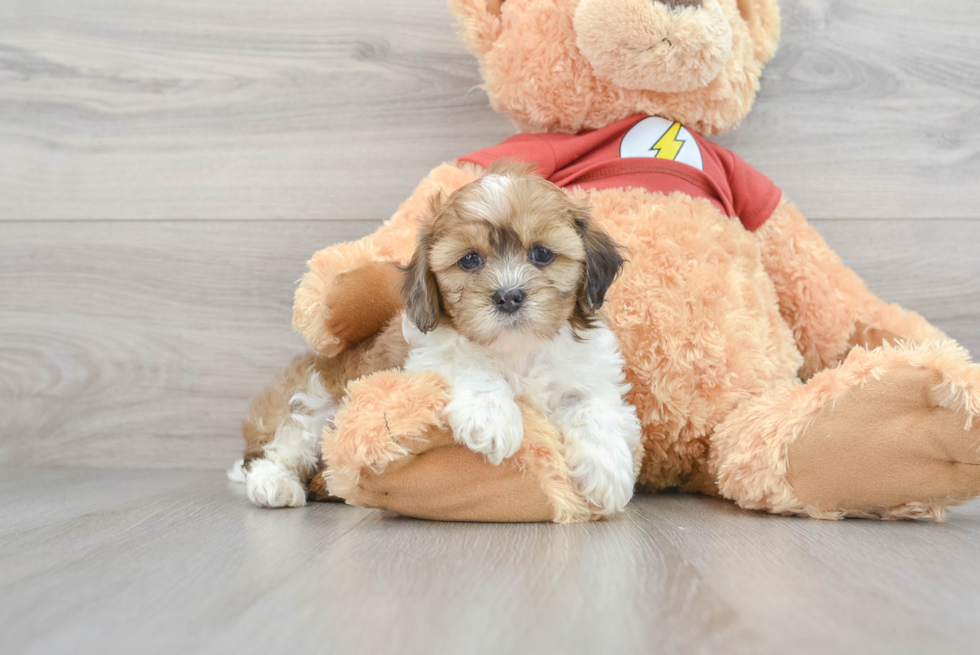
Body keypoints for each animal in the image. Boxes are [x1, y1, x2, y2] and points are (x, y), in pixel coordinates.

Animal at [400, 161, 644, 516]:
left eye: (542, 254)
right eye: (469, 259)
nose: (509, 296)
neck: (521, 347)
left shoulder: (590, 373)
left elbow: (594, 408)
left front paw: (607, 471)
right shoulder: (429, 356)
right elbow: (472, 367)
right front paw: (490, 418)